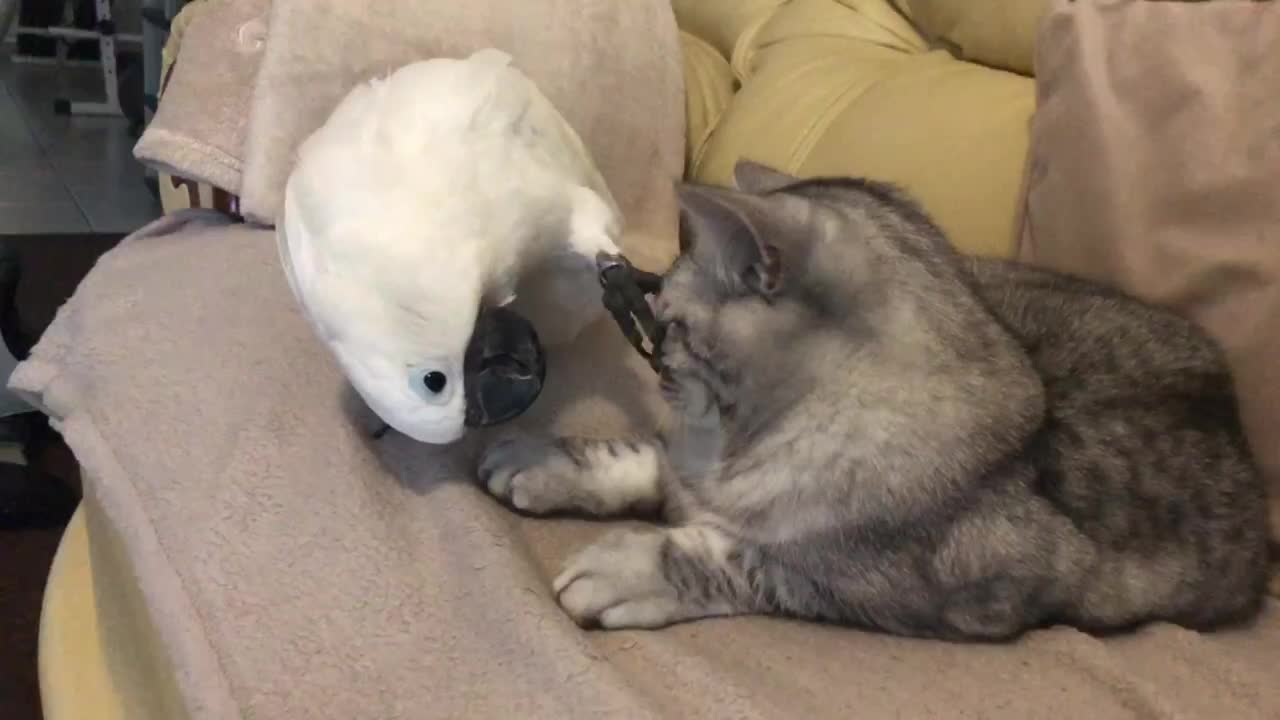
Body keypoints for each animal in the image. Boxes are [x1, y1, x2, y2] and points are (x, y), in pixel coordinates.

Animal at [481, 159, 1269, 635]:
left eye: (670, 320)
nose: (660, 367)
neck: (734, 448)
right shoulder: (682, 460)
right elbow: (639, 457)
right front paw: (543, 462)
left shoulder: (914, 589)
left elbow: (736, 559)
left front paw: (626, 567)